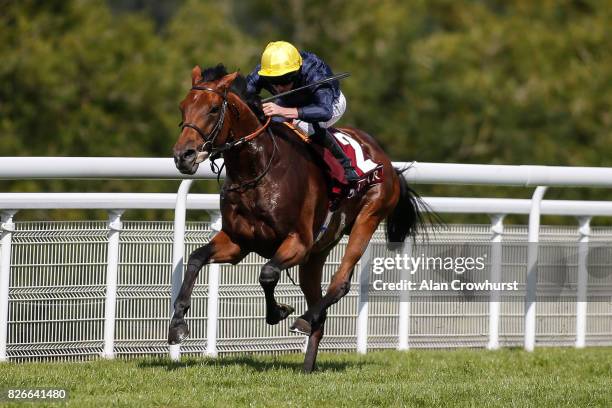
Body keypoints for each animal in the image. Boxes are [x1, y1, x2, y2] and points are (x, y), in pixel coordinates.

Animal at [170, 63, 424, 372]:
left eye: (214, 108)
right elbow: (195, 259)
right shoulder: (237, 242)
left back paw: (304, 318)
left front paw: (279, 311)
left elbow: (267, 273)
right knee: (320, 309)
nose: (183, 156)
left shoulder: (298, 242)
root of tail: (387, 162)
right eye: (183, 107)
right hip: (317, 252)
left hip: (368, 218)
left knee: (340, 282)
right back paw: (307, 364)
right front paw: (178, 324)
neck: (257, 170)